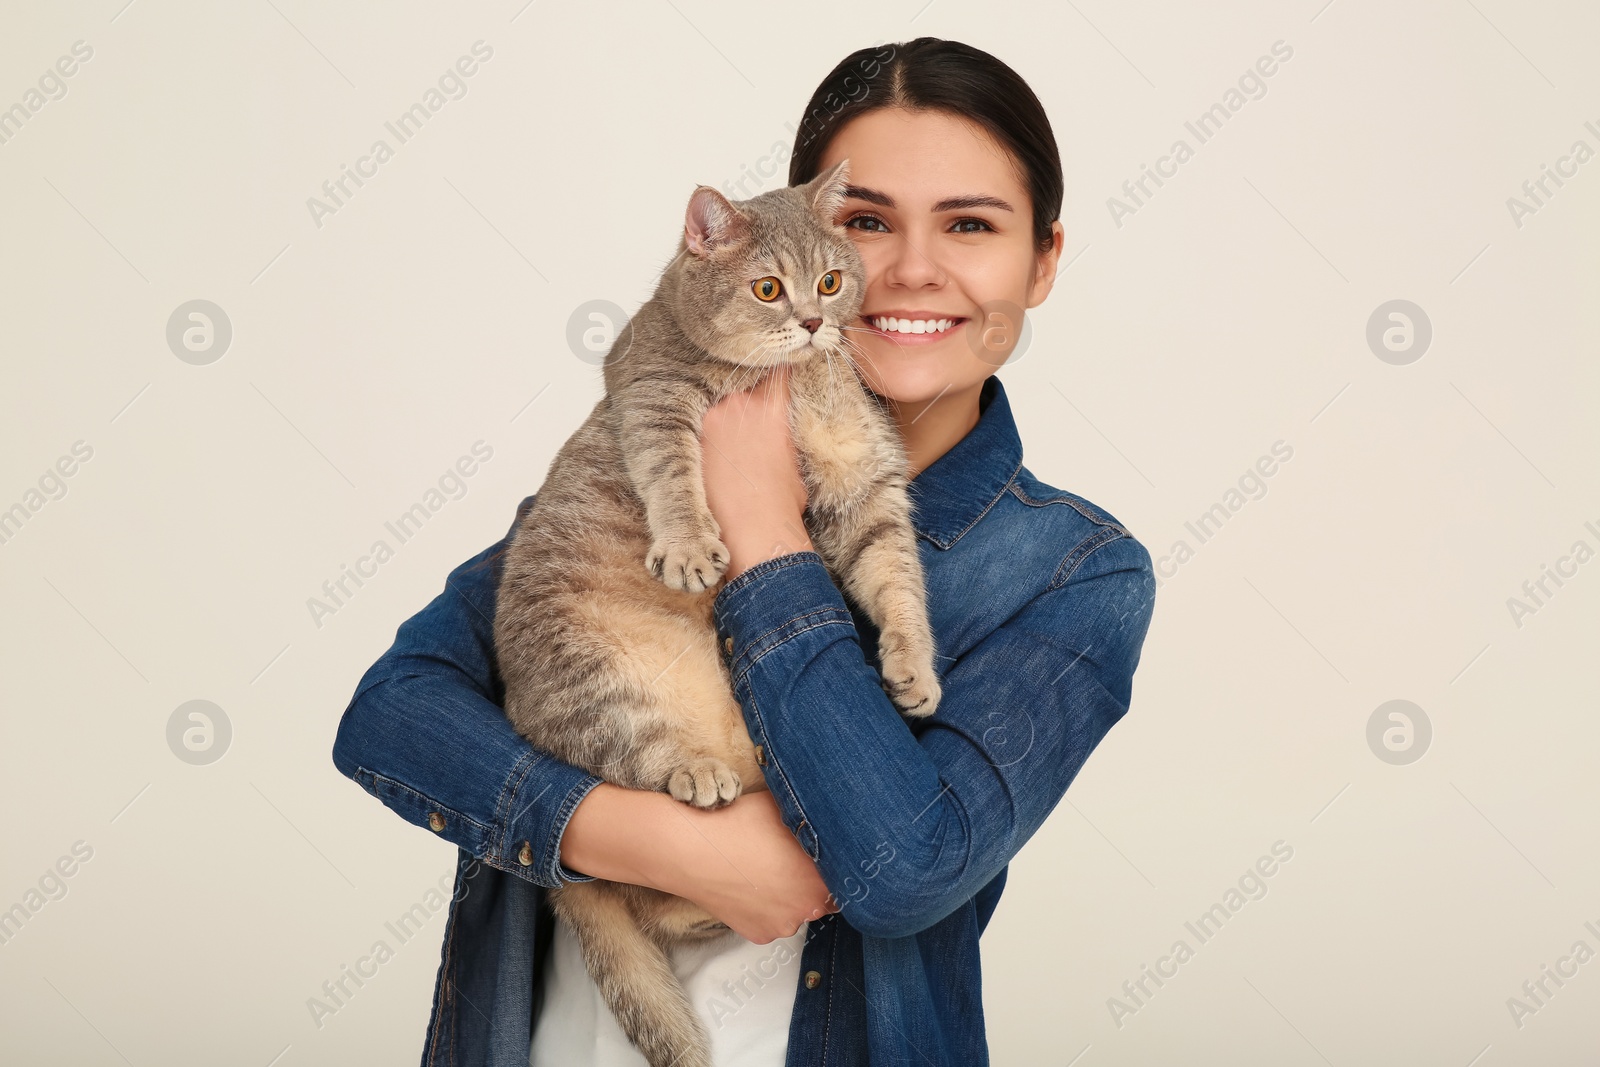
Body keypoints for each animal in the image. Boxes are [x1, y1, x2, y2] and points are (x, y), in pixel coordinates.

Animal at [486, 156, 934, 1067]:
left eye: (831, 281)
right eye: (767, 288)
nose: (811, 323)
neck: (797, 383)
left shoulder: (864, 486)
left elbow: (897, 577)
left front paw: (913, 664)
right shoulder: (655, 394)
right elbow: (673, 471)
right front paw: (689, 544)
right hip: (591, 676)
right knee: (635, 807)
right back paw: (695, 774)